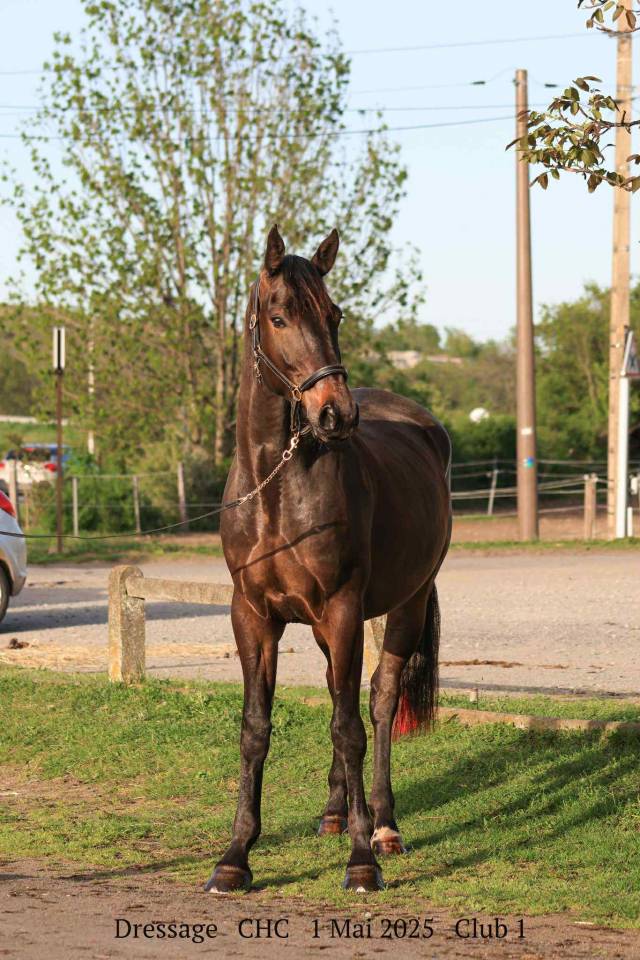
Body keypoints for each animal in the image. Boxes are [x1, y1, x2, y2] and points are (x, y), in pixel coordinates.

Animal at [206, 225, 451, 894]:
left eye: (334, 314)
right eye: (280, 316)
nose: (335, 413)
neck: (276, 490)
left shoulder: (342, 610)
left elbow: (351, 726)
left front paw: (362, 860)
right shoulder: (253, 616)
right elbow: (256, 729)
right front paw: (235, 857)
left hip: (405, 604)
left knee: (379, 700)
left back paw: (383, 826)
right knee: (339, 695)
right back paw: (337, 812)